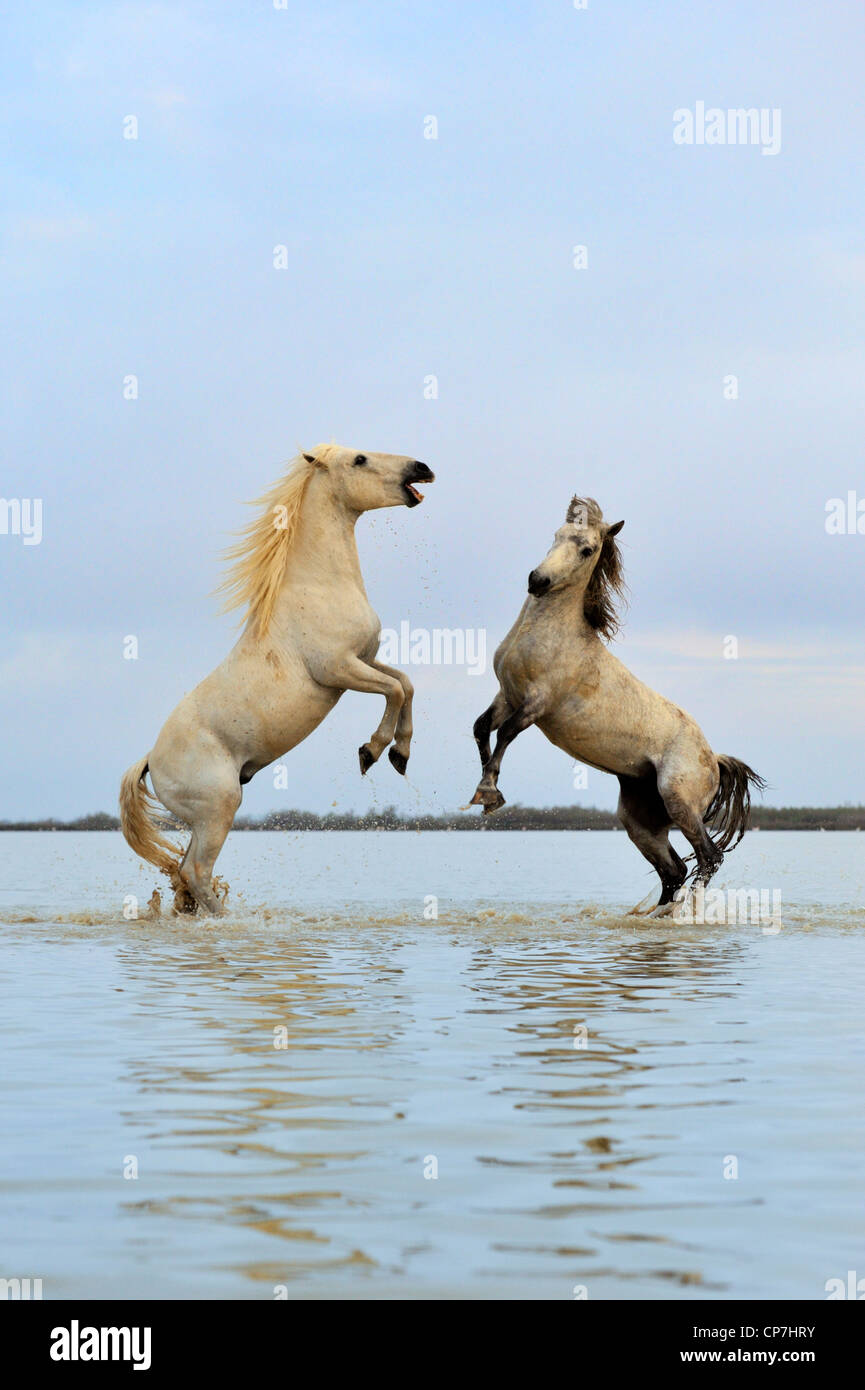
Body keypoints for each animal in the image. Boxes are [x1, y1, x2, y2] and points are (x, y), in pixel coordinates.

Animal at [120, 444, 434, 915]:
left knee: (183, 875)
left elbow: (406, 683)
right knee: (196, 872)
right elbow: (394, 689)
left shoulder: (365, 659)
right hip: (220, 808)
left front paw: (401, 753)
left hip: (201, 820)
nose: (422, 469)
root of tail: (151, 761)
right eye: (359, 459)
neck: (319, 585)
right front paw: (373, 752)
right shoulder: (338, 670)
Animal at [469, 496, 764, 915]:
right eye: (557, 534)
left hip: (679, 801)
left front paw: (488, 792)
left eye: (587, 549)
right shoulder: (506, 695)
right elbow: (482, 727)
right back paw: (656, 913)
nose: (537, 581)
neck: (548, 635)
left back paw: (678, 912)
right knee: (673, 869)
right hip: (640, 819)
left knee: (708, 857)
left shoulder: (537, 703)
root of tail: (714, 759)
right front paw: (486, 793)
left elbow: (507, 732)